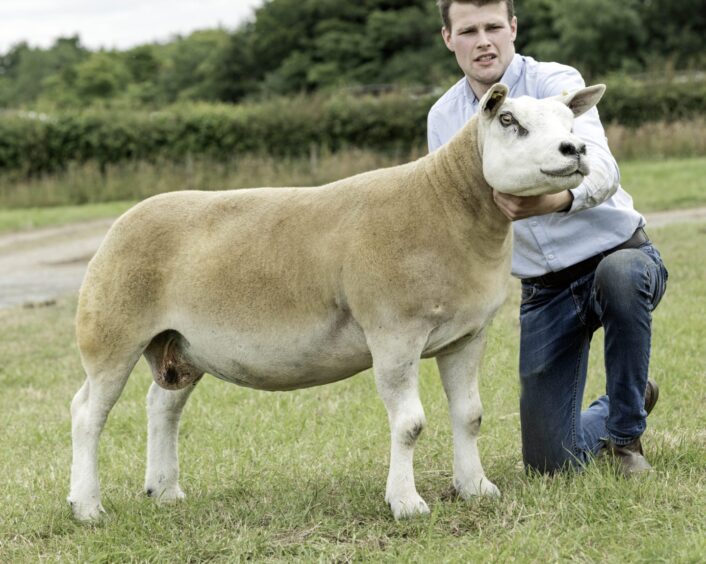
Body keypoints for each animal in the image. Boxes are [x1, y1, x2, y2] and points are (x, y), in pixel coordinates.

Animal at [69, 82, 604, 520]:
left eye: (570, 122)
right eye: (510, 121)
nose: (575, 149)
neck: (445, 205)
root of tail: (122, 222)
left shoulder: (467, 335)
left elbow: (470, 416)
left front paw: (475, 488)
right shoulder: (394, 332)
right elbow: (410, 425)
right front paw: (406, 503)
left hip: (180, 344)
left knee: (162, 406)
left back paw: (164, 491)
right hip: (111, 334)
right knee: (87, 414)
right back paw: (87, 507)